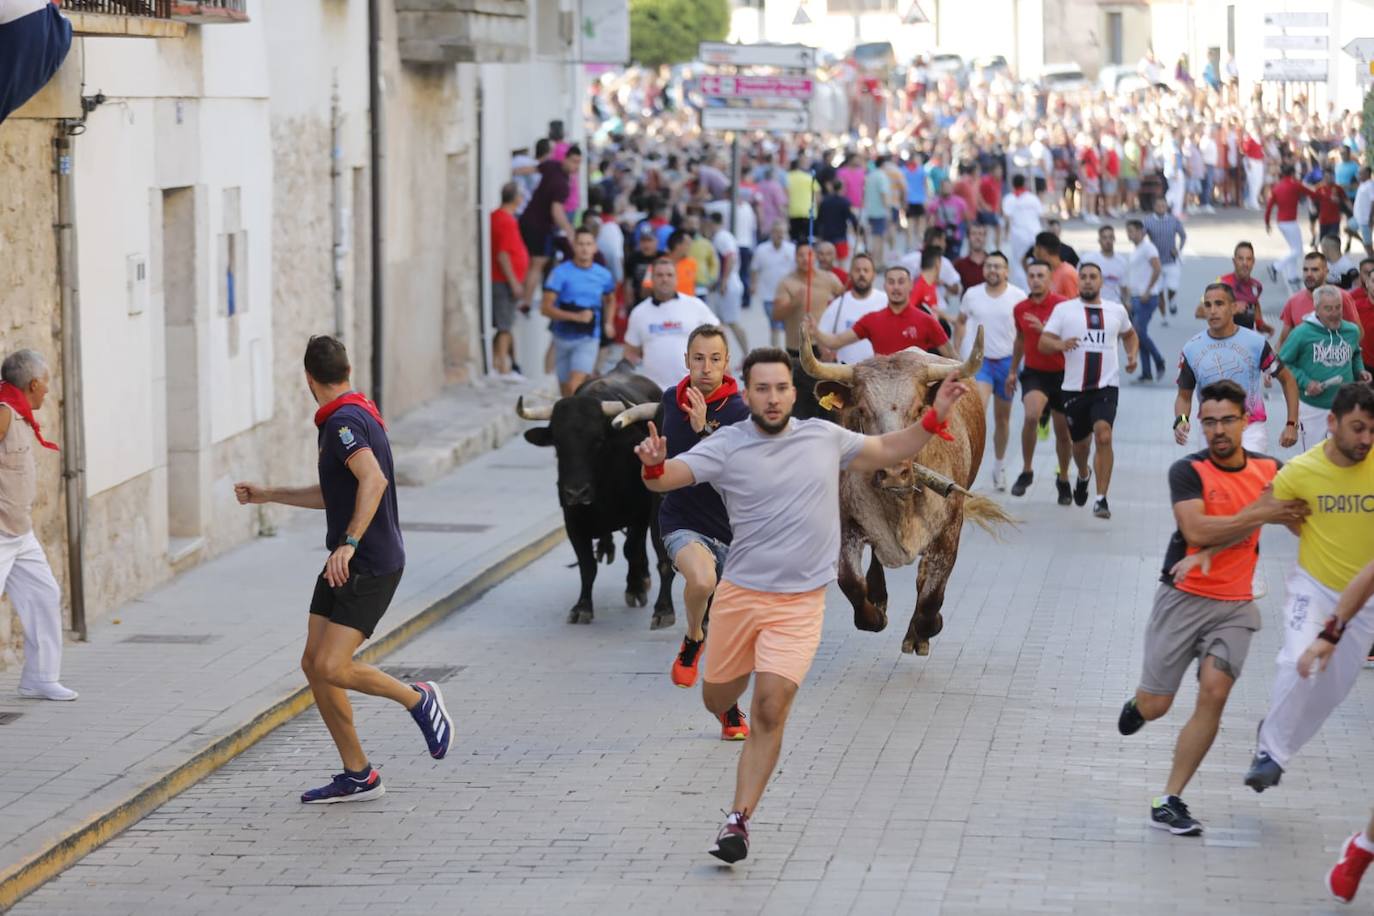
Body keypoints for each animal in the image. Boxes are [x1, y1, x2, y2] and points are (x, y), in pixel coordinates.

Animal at [516, 368, 673, 626]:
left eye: (598, 440)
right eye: (557, 443)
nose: (577, 492)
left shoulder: (641, 513)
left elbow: (631, 548)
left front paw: (635, 588)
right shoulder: (573, 520)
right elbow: (586, 565)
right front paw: (582, 607)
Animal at [802, 325, 1016, 656]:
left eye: (918, 410)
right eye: (862, 409)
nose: (893, 472)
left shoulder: (949, 529)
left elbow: (931, 595)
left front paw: (924, 630)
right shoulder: (847, 520)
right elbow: (850, 581)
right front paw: (874, 615)